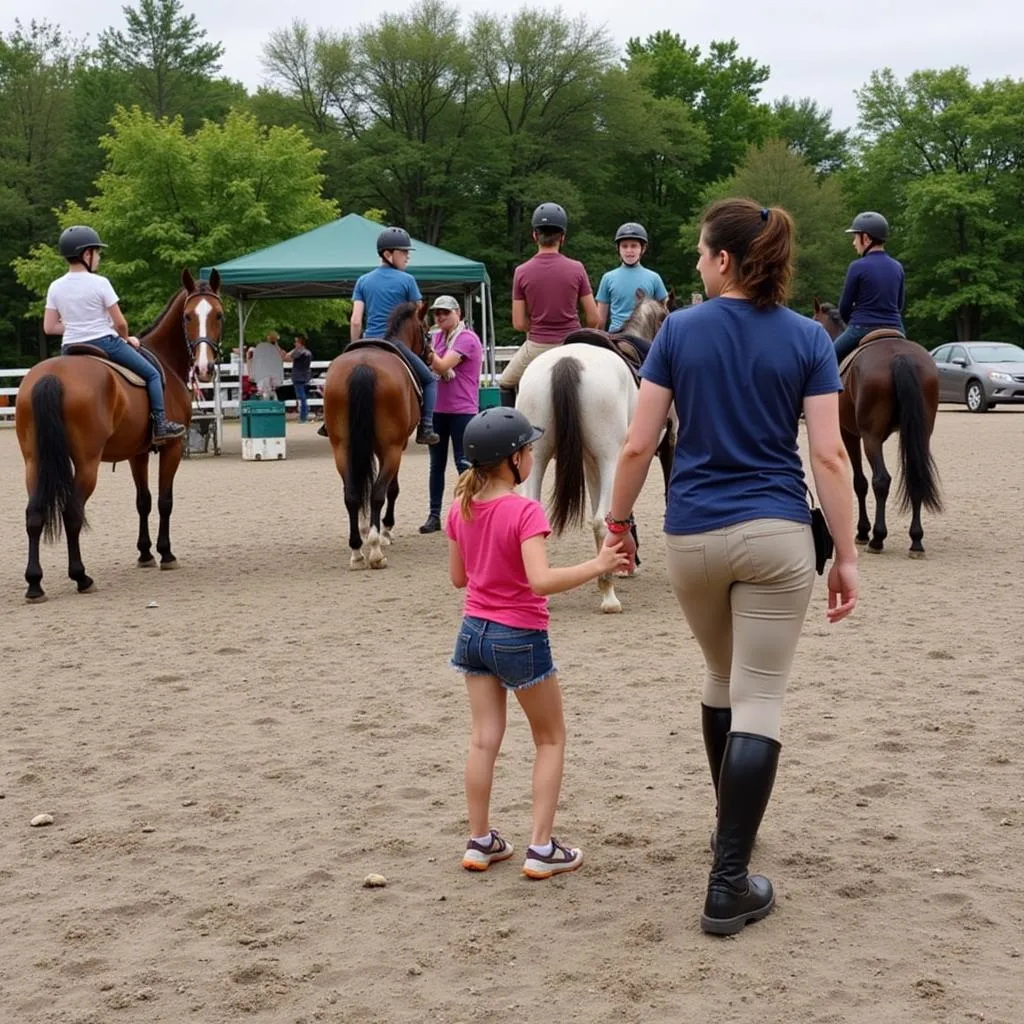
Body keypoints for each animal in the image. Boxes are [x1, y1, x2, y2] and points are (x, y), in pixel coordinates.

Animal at [16, 268, 225, 598]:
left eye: (217, 315)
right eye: (188, 316)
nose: (205, 367)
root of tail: (51, 376)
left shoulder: (137, 454)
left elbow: (144, 501)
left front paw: (145, 553)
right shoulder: (172, 448)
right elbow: (164, 501)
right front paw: (165, 553)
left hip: (34, 463)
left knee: (34, 515)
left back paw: (34, 583)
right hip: (86, 464)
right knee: (72, 513)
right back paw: (81, 577)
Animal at [321, 299, 430, 569]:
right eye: (426, 331)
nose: (431, 356)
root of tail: (363, 365)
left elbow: (362, 485)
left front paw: (364, 528)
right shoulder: (396, 447)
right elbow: (391, 488)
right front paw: (385, 530)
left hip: (342, 447)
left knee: (351, 493)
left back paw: (357, 550)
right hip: (391, 448)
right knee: (380, 491)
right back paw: (375, 547)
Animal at [516, 296, 675, 614]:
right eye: (666, 316)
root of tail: (566, 362)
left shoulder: (591, 464)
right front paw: (626, 563)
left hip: (538, 457)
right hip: (609, 457)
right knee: (602, 519)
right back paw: (608, 593)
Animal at [811, 299, 937, 552]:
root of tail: (899, 355)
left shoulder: (848, 434)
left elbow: (859, 482)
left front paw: (862, 531)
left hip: (871, 437)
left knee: (880, 480)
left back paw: (878, 538)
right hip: (921, 434)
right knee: (915, 476)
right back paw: (916, 539)